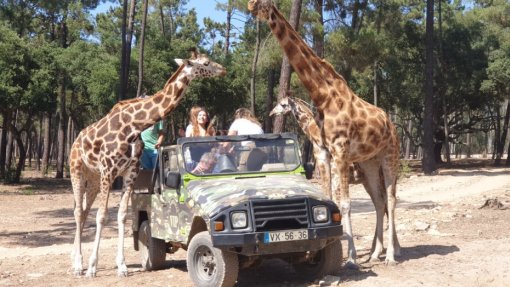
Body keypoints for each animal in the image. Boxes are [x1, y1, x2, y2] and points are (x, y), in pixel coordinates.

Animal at [69, 50, 225, 278]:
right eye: (205, 63)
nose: (223, 69)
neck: (133, 126)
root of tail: (75, 140)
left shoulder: (129, 172)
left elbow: (122, 215)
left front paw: (122, 266)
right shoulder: (109, 169)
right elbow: (102, 215)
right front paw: (92, 267)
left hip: (94, 178)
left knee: (84, 210)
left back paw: (75, 261)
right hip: (77, 170)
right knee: (79, 212)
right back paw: (78, 265)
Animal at [249, 0, 400, 266]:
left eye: (264, 3)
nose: (250, 6)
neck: (323, 96)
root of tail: (392, 126)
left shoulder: (340, 151)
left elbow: (345, 204)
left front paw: (350, 259)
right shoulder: (322, 153)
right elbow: (330, 199)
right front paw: (326, 249)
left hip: (389, 156)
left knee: (391, 200)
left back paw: (391, 255)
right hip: (369, 162)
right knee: (380, 200)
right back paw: (375, 253)